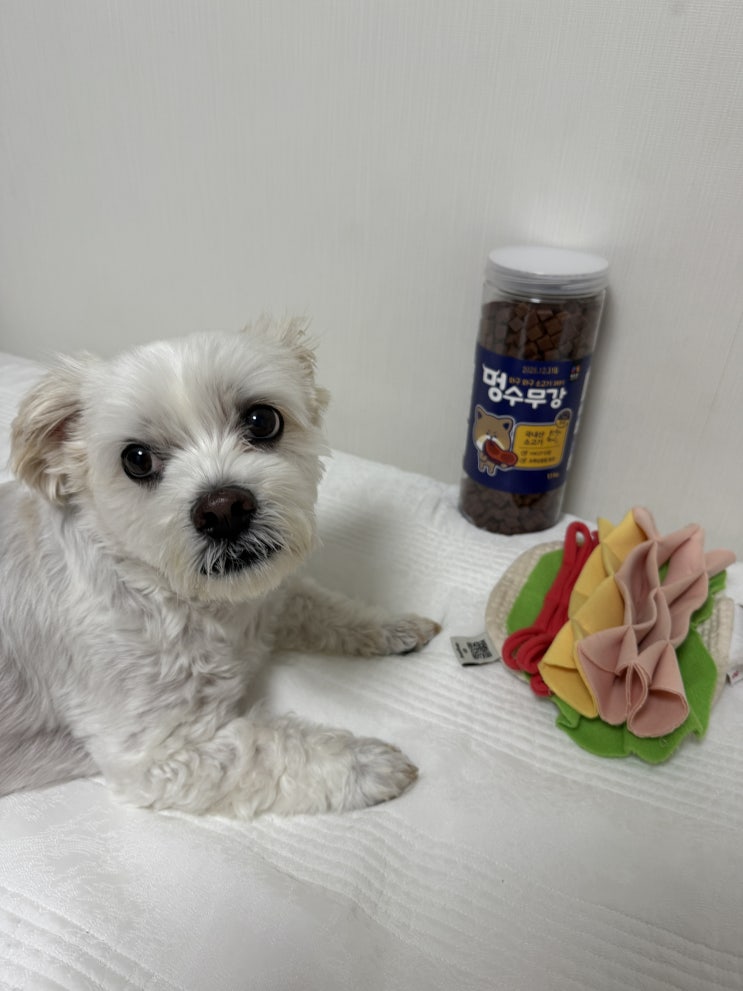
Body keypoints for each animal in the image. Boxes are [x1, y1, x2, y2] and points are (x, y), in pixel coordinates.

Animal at [0, 318, 440, 817]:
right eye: (136, 459)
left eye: (262, 420)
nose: (224, 509)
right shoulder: (160, 752)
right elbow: (267, 749)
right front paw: (366, 763)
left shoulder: (270, 601)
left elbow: (321, 606)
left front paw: (392, 626)